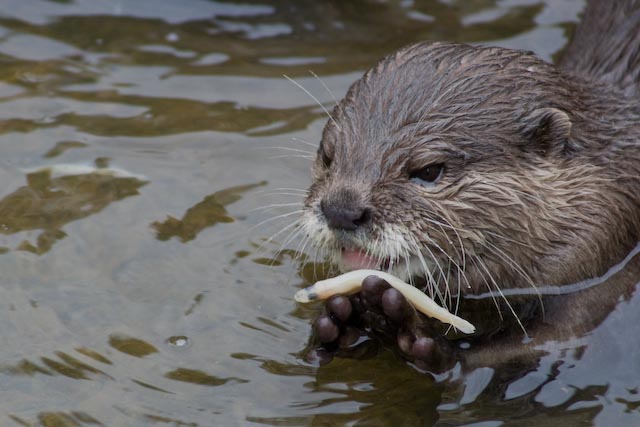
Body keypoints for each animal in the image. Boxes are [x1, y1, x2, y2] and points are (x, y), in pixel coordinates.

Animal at [298, 0, 640, 372]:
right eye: (328, 156)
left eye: (429, 170)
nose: (341, 209)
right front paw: (337, 323)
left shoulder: (600, 248)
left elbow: (548, 340)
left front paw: (424, 341)